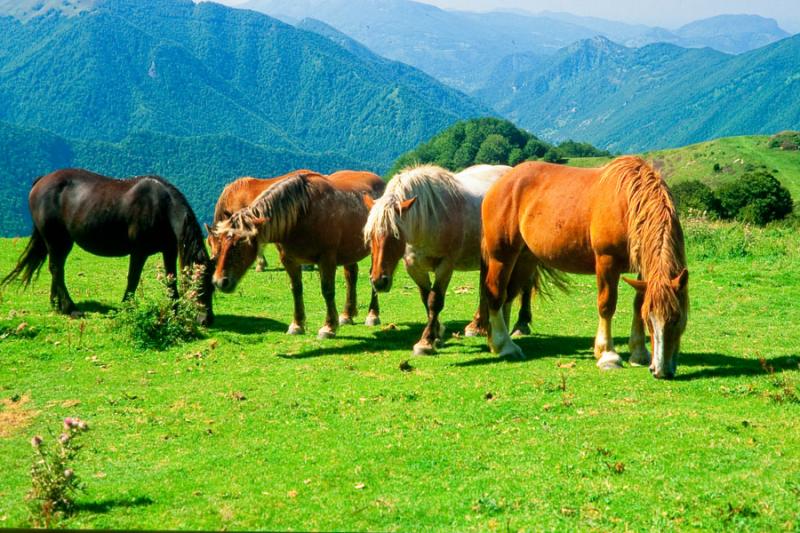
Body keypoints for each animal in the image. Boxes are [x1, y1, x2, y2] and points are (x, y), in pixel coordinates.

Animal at [2, 168, 216, 324]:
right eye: (200, 287)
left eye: (212, 288)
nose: (206, 320)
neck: (161, 207)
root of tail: (41, 180)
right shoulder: (139, 251)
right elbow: (133, 279)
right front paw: (127, 307)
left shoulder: (169, 250)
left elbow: (171, 280)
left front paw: (175, 311)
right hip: (56, 239)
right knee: (56, 268)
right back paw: (71, 309)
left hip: (62, 241)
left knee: (57, 268)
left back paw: (57, 305)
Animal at [209, 168, 384, 338]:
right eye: (220, 244)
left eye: (239, 245)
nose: (219, 281)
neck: (302, 213)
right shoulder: (289, 259)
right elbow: (296, 289)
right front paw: (297, 325)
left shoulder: (327, 259)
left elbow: (327, 290)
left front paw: (328, 327)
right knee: (351, 276)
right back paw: (347, 315)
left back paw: (372, 315)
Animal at [360, 164, 532, 356]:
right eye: (369, 236)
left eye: (395, 236)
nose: (378, 282)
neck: (427, 220)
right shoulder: (414, 267)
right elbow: (426, 300)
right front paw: (436, 335)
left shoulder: (445, 265)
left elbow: (435, 301)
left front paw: (426, 343)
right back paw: (477, 326)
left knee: (527, 285)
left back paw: (521, 325)